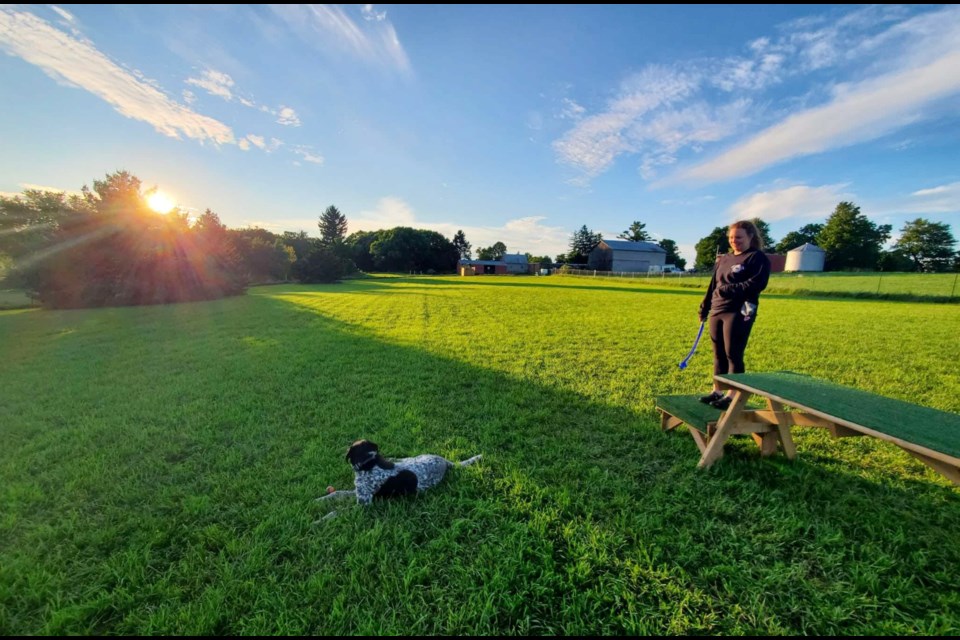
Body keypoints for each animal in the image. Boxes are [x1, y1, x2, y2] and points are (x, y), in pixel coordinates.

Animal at [316, 440, 480, 520]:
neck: (369, 462)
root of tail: (445, 462)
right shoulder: (357, 493)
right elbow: (337, 493)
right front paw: (319, 500)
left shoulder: (363, 506)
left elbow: (336, 512)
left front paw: (319, 521)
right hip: (410, 458)